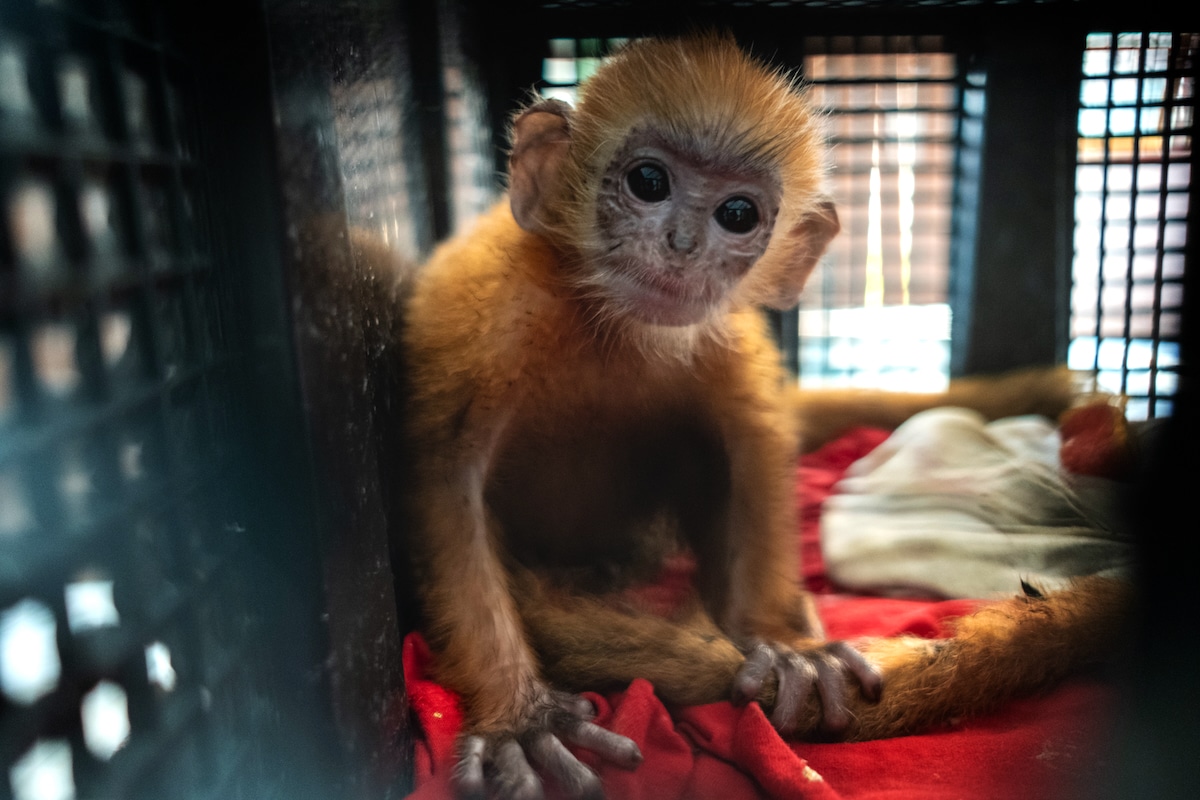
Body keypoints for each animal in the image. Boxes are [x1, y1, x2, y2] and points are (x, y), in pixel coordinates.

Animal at [391, 32, 1123, 800]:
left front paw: (785, 646)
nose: (682, 246)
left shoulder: (723, 342)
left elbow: (753, 447)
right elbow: (447, 485)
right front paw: (520, 717)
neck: (606, 328)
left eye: (737, 215)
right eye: (648, 182)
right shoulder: (492, 311)